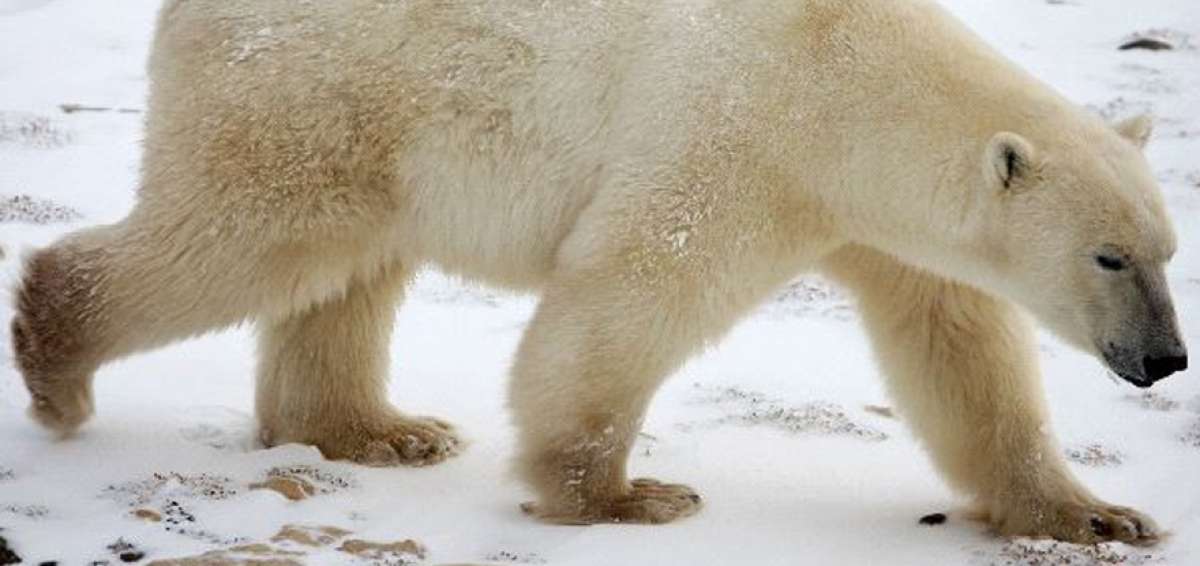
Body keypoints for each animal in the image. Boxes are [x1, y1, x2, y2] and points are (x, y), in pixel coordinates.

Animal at [11, 0, 1187, 546]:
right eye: (1108, 254)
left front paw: (1097, 516)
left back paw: (381, 430)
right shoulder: (738, 136)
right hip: (312, 92)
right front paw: (627, 495)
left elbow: (963, 352)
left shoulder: (880, 221)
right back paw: (56, 360)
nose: (1167, 359)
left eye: (1170, 251)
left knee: (342, 276)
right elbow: (631, 289)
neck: (845, 75)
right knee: (246, 238)